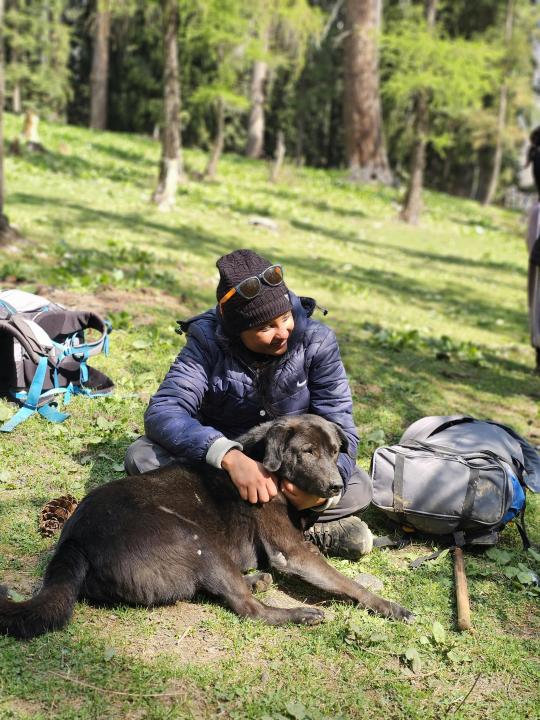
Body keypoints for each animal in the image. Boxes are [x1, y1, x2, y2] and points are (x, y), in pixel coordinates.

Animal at [0, 414, 413, 638]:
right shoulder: (291, 551)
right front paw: (389, 606)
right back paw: (299, 614)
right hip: (195, 538)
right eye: (307, 452)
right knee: (249, 609)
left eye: (334, 451)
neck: (265, 462)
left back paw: (256, 580)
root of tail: (73, 540)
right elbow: (349, 583)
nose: (335, 487)